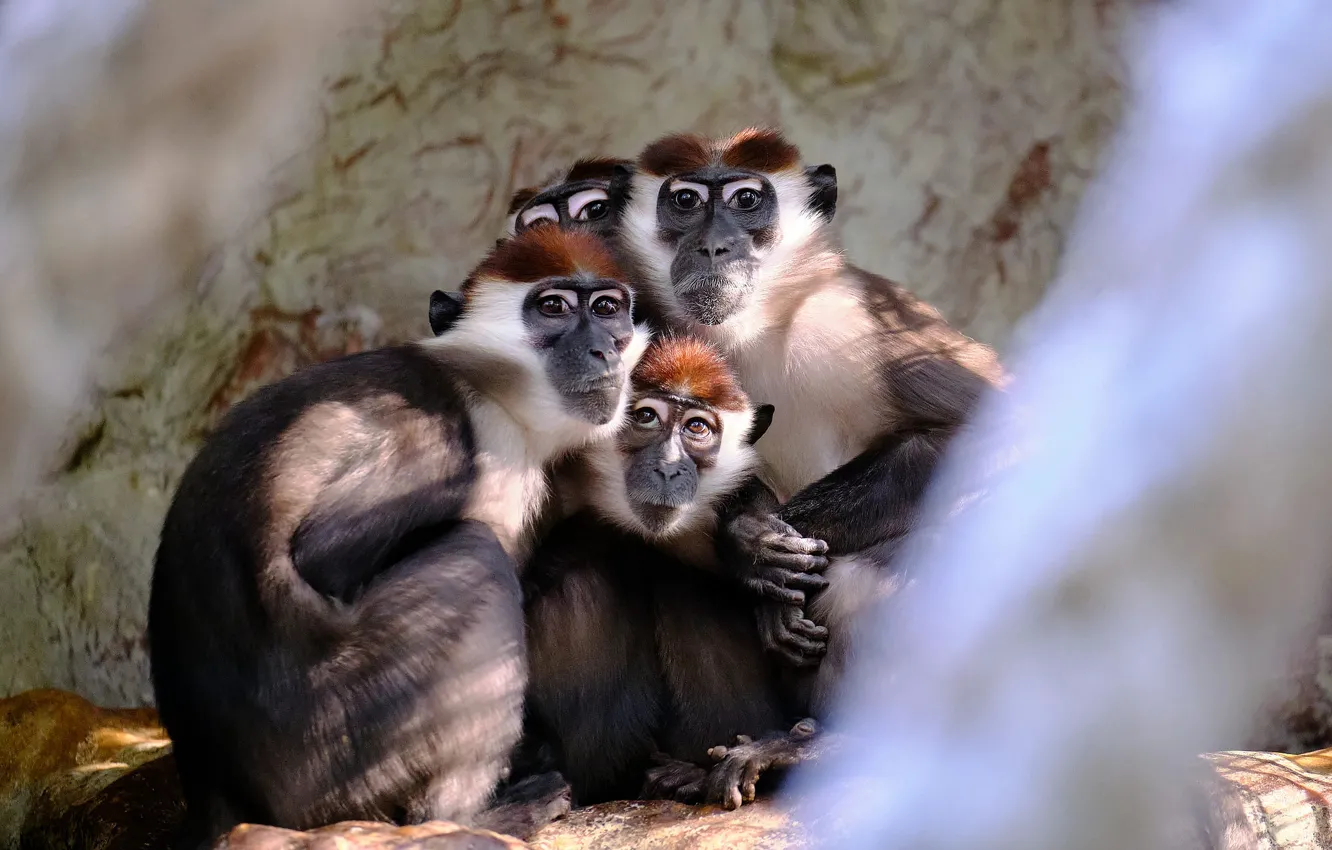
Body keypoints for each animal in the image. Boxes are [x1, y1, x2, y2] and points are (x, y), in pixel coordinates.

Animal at [146, 226, 650, 849]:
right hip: (335, 748)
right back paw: (466, 819)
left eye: (607, 309)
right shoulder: (449, 440)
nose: (606, 349)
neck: (485, 383)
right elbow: (322, 556)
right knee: (476, 557)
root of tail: (217, 795)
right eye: (553, 307)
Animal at [615, 127, 1006, 803]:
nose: (714, 246)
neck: (751, 329)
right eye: (685, 201)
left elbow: (1000, 425)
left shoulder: (857, 317)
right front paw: (748, 544)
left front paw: (770, 543)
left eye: (747, 200)